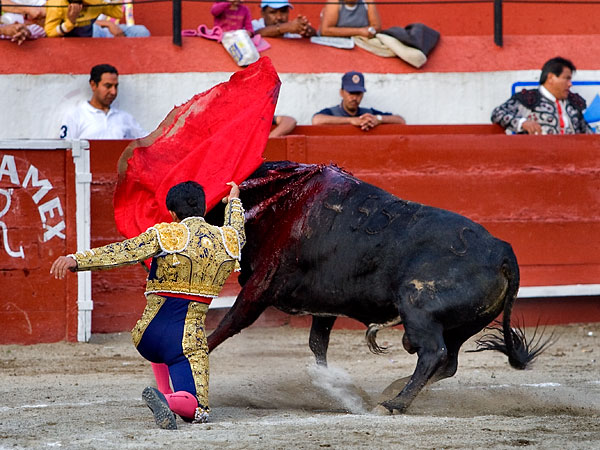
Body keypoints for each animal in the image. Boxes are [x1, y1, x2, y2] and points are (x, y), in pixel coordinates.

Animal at [206, 163, 548, 414]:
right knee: (448, 361)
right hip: (463, 325)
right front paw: (330, 385)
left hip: (418, 308)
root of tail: (503, 251)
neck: (281, 198)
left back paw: (394, 403)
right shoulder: (324, 305)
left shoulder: (260, 286)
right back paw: (393, 390)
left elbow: (227, 326)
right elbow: (318, 344)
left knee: (433, 353)